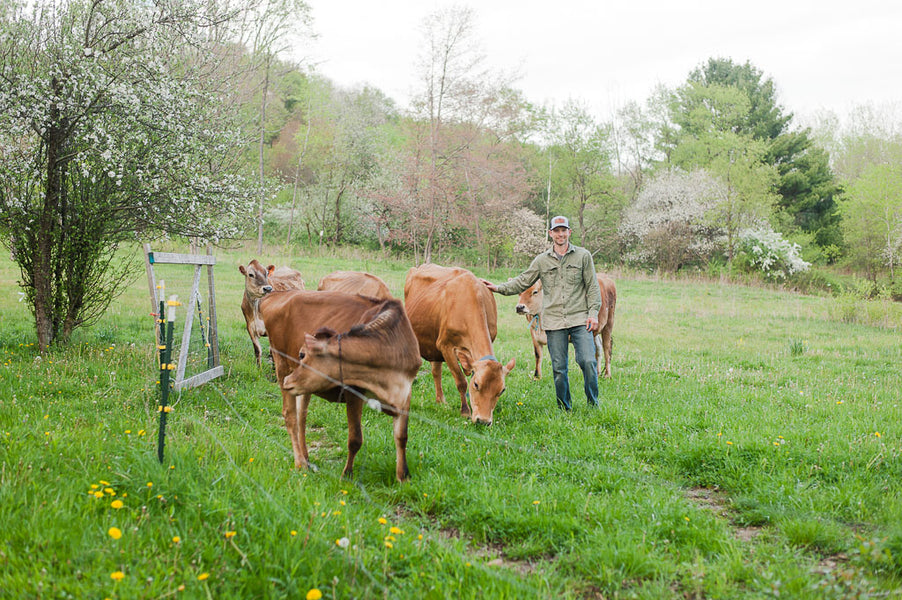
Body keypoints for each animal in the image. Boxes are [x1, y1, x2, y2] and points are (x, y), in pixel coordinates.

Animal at [258, 290, 420, 482]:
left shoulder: (405, 393)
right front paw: (347, 475)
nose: (288, 381)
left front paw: (403, 476)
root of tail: (276, 294)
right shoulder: (353, 392)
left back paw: (306, 457)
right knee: (290, 416)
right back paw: (300, 463)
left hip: (305, 387)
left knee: (301, 416)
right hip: (281, 363)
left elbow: (402, 436)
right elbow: (355, 438)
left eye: (302, 354)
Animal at [404, 264, 516, 424]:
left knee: (436, 371)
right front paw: (465, 411)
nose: (483, 421)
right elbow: (461, 381)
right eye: (476, 384)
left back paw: (441, 401)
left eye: (502, 390)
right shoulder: (445, 346)